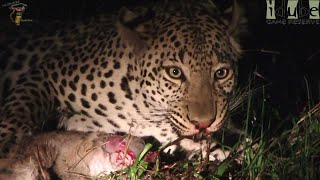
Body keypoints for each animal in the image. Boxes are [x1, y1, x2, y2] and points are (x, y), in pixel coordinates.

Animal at [0, 0, 244, 160]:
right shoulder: (47, 73)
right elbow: (18, 112)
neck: (141, 114)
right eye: (175, 73)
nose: (203, 123)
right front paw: (9, 147)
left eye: (221, 73)